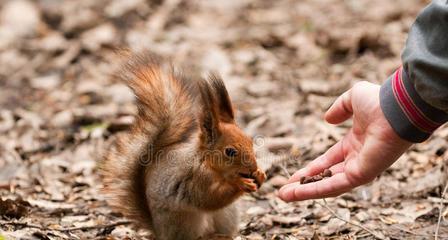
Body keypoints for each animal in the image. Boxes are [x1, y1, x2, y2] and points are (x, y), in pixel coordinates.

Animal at [100, 53, 266, 240]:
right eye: (230, 151)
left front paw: (260, 174)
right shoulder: (196, 178)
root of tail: (159, 232)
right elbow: (208, 199)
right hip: (185, 221)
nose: (252, 168)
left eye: (250, 141)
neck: (208, 163)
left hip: (227, 214)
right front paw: (241, 184)